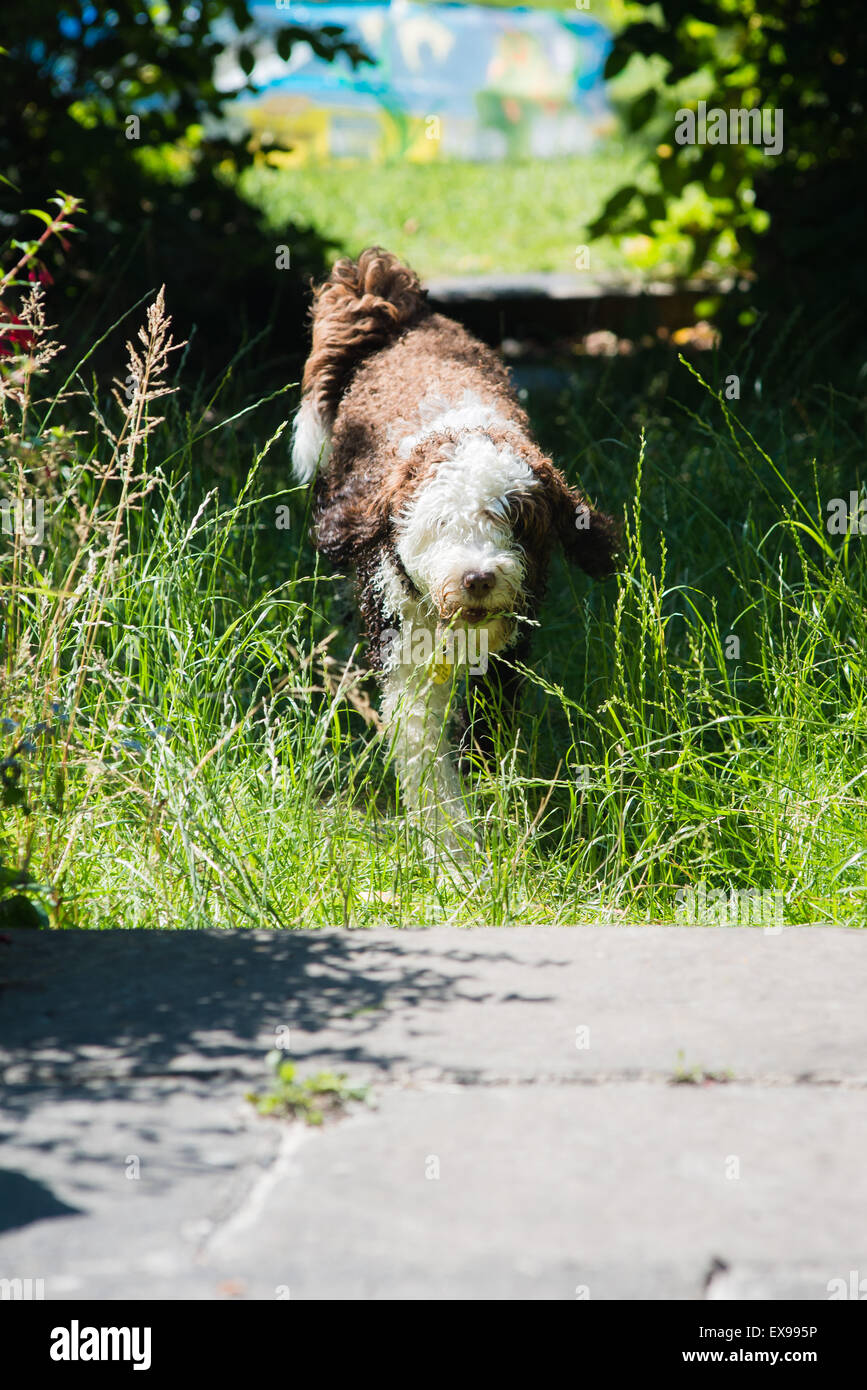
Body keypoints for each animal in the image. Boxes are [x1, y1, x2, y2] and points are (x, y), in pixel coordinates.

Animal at [291, 251, 616, 856]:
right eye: (441, 522)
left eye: (515, 521)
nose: (478, 577)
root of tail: (399, 314)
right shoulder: (404, 656)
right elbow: (425, 758)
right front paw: (453, 852)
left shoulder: (506, 659)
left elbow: (484, 742)